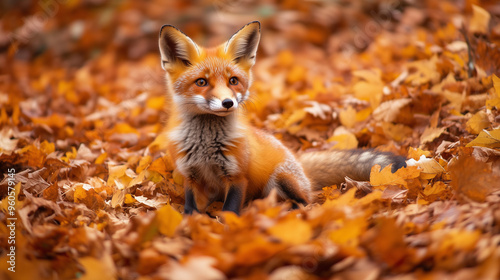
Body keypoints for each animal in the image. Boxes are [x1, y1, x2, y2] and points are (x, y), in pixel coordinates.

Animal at [158, 21, 408, 214]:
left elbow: (229, 211)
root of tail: (298, 161)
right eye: (201, 82)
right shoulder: (189, 175)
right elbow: (190, 210)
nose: (228, 103)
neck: (206, 147)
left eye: (233, 81)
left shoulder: (237, 176)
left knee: (306, 202)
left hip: (281, 178)